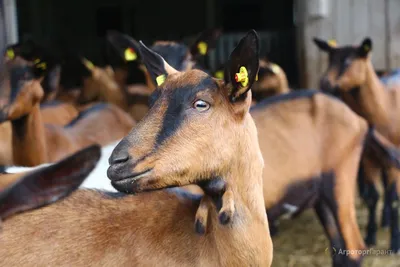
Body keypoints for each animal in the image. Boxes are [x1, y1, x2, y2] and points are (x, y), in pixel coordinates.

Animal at [314, 37, 400, 253]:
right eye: (330, 59)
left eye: (347, 62)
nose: (324, 83)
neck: (385, 106)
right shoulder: (368, 157)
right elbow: (373, 197)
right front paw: (370, 235)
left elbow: (394, 198)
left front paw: (395, 243)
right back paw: (385, 220)